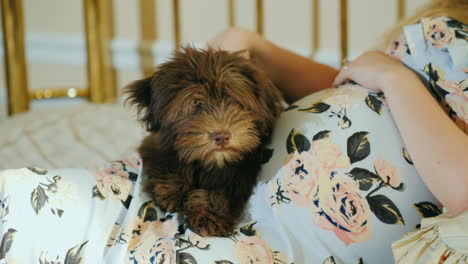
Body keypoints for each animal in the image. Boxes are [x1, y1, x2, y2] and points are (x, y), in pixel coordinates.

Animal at [124, 46, 284, 236]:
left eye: (235, 101)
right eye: (196, 104)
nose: (221, 136)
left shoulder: (242, 171)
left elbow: (222, 191)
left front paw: (209, 215)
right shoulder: (155, 145)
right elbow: (169, 160)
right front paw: (172, 190)